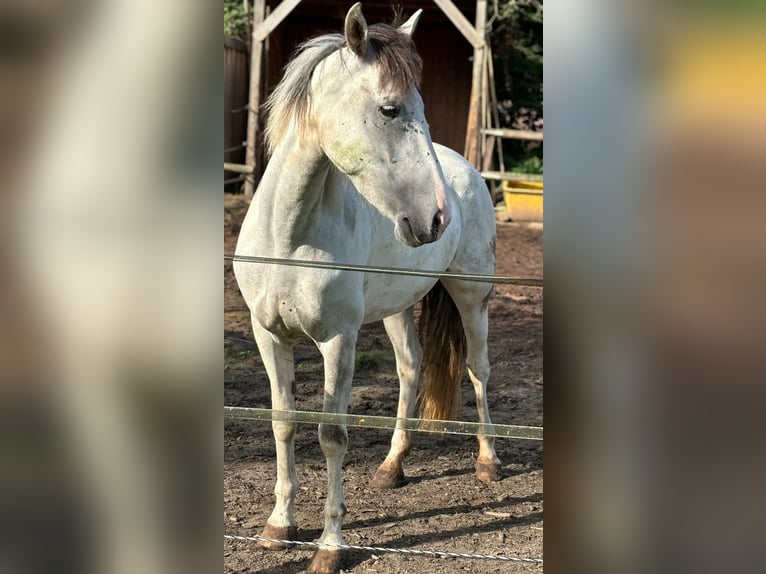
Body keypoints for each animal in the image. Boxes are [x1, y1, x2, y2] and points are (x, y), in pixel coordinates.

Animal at [231, 3, 500, 572]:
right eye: (390, 109)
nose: (436, 217)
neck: (289, 236)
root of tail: (464, 168)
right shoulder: (268, 336)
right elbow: (283, 422)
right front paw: (278, 526)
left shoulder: (339, 341)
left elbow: (331, 434)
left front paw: (330, 546)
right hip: (397, 307)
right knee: (409, 369)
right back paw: (392, 466)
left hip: (472, 296)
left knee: (478, 368)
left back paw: (489, 461)